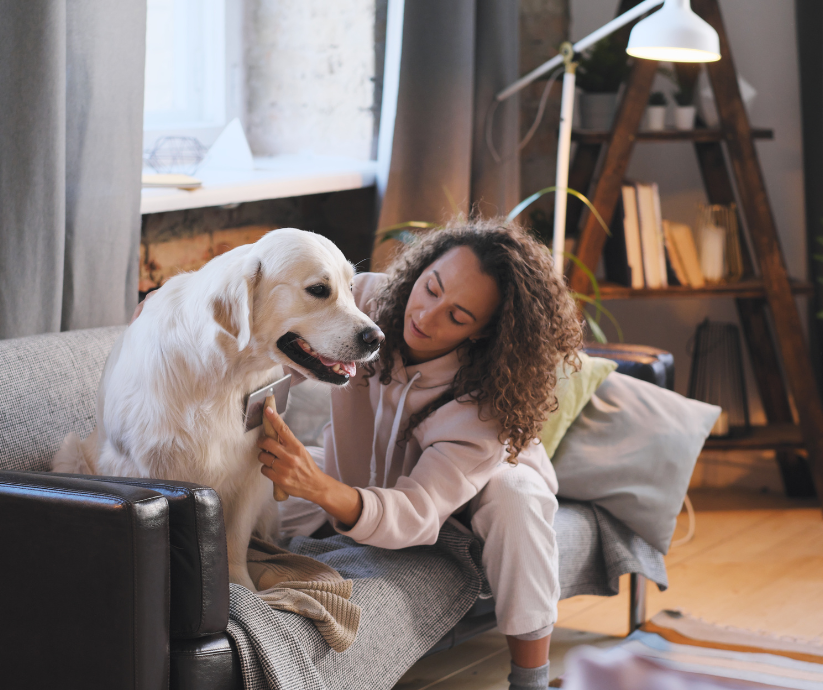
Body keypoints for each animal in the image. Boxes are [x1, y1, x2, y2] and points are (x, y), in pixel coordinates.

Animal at [54, 228, 384, 588]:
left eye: (351, 287)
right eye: (319, 290)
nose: (377, 337)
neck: (223, 374)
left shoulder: (254, 471)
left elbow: (234, 543)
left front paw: (243, 588)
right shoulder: (136, 466)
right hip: (69, 453)